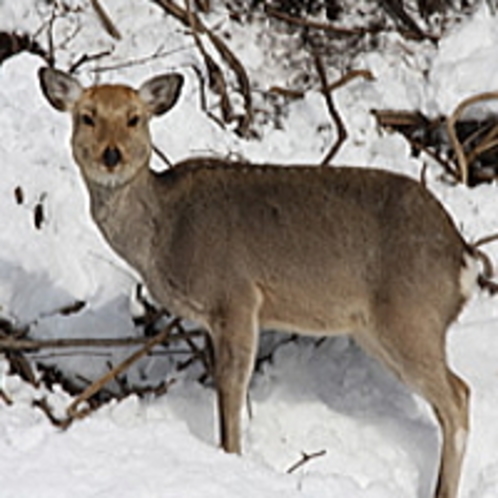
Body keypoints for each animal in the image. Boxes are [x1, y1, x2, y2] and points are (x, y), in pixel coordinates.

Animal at [40, 67, 478, 498]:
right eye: (87, 116)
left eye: (135, 118)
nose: (111, 154)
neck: (163, 234)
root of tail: (464, 260)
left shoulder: (236, 296)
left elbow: (232, 390)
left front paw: (232, 458)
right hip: (374, 329)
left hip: (411, 315)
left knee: (458, 395)